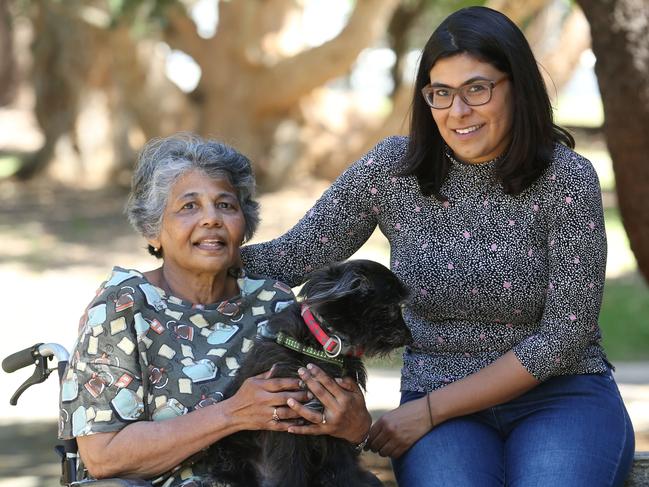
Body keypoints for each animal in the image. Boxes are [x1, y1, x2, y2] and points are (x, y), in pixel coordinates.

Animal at [208, 262, 410, 487]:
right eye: (391, 308)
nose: (410, 338)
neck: (323, 345)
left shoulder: (337, 420)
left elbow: (342, 462)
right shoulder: (287, 419)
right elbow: (289, 464)